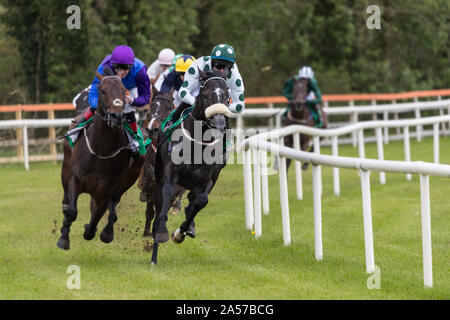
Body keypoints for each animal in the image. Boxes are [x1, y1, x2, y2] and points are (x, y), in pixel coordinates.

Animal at [55, 67, 144, 251]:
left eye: (123, 91)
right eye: (103, 91)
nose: (117, 116)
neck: (100, 151)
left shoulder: (106, 190)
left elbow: (98, 215)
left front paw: (94, 231)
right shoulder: (75, 178)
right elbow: (71, 211)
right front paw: (64, 238)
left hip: (127, 181)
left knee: (111, 207)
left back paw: (107, 230)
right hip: (65, 170)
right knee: (66, 200)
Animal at [139, 89, 185, 236]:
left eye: (168, 108)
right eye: (151, 107)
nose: (152, 129)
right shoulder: (150, 184)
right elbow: (150, 211)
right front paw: (146, 232)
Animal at [148, 69, 232, 264]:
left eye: (226, 96)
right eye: (206, 95)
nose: (218, 123)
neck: (198, 144)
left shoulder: (208, 179)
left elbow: (201, 201)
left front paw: (180, 232)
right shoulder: (171, 173)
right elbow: (168, 195)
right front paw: (162, 232)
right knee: (159, 204)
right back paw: (154, 252)